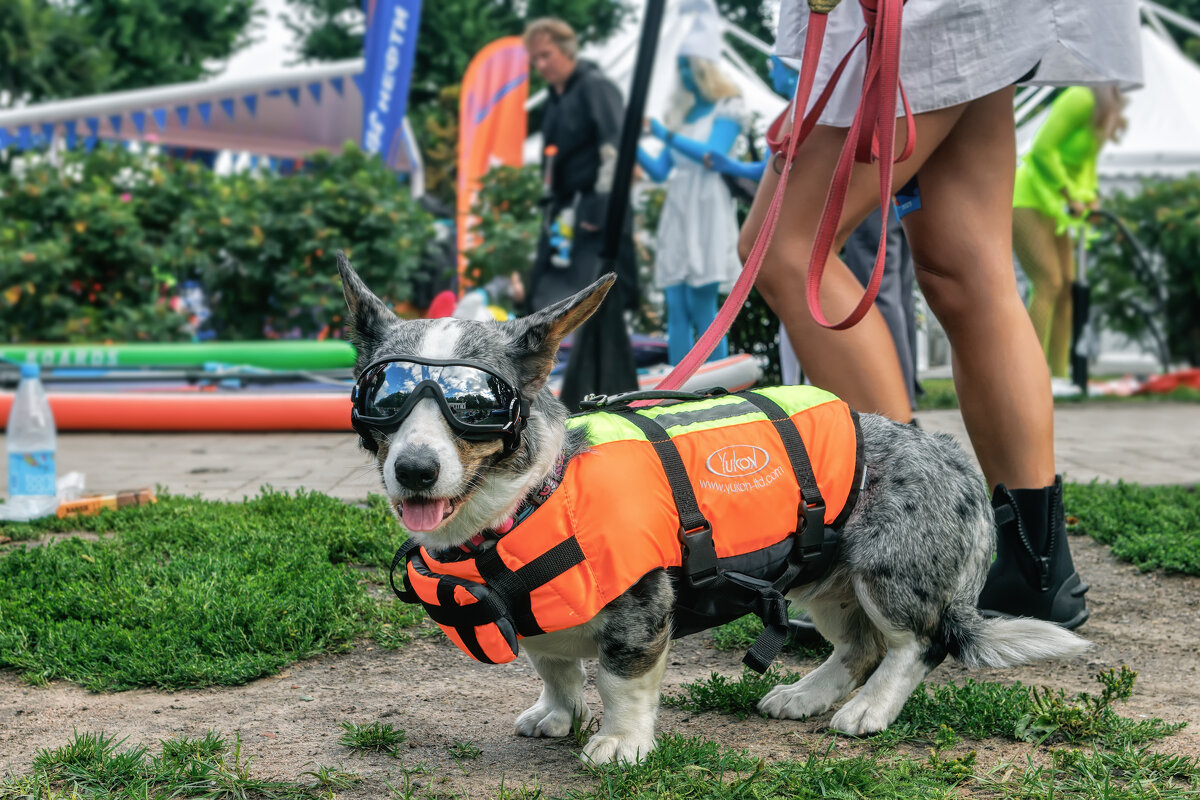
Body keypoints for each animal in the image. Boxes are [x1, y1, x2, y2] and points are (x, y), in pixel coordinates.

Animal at [338, 255, 1089, 762]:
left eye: (475, 406)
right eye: (383, 396)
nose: (414, 470)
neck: (529, 501)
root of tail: (956, 459)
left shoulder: (639, 612)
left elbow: (619, 681)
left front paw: (619, 745)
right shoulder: (542, 626)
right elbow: (554, 668)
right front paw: (553, 714)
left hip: (888, 575)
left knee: (914, 645)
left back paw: (868, 712)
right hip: (827, 584)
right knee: (859, 645)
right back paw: (803, 696)